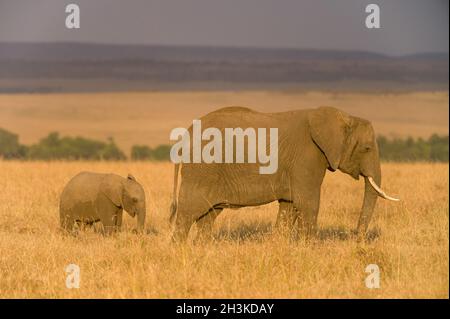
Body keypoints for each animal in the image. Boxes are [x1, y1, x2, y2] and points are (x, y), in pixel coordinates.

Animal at [169, 105, 398, 242]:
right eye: (367, 148)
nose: (356, 239)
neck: (344, 116)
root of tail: (187, 132)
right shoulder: (307, 156)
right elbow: (308, 203)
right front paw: (310, 249)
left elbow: (289, 206)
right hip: (202, 170)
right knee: (187, 213)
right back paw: (179, 251)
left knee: (207, 216)